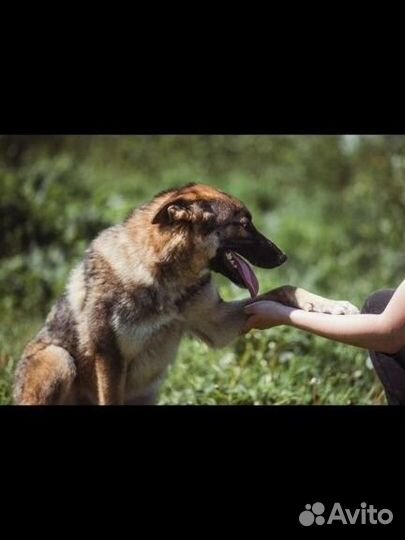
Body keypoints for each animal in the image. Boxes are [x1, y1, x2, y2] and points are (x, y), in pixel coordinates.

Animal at [13, 184, 356, 402]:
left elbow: (285, 289)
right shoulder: (108, 356)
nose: (283, 257)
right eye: (244, 224)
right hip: (58, 358)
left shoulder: (218, 325)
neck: (165, 281)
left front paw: (332, 306)